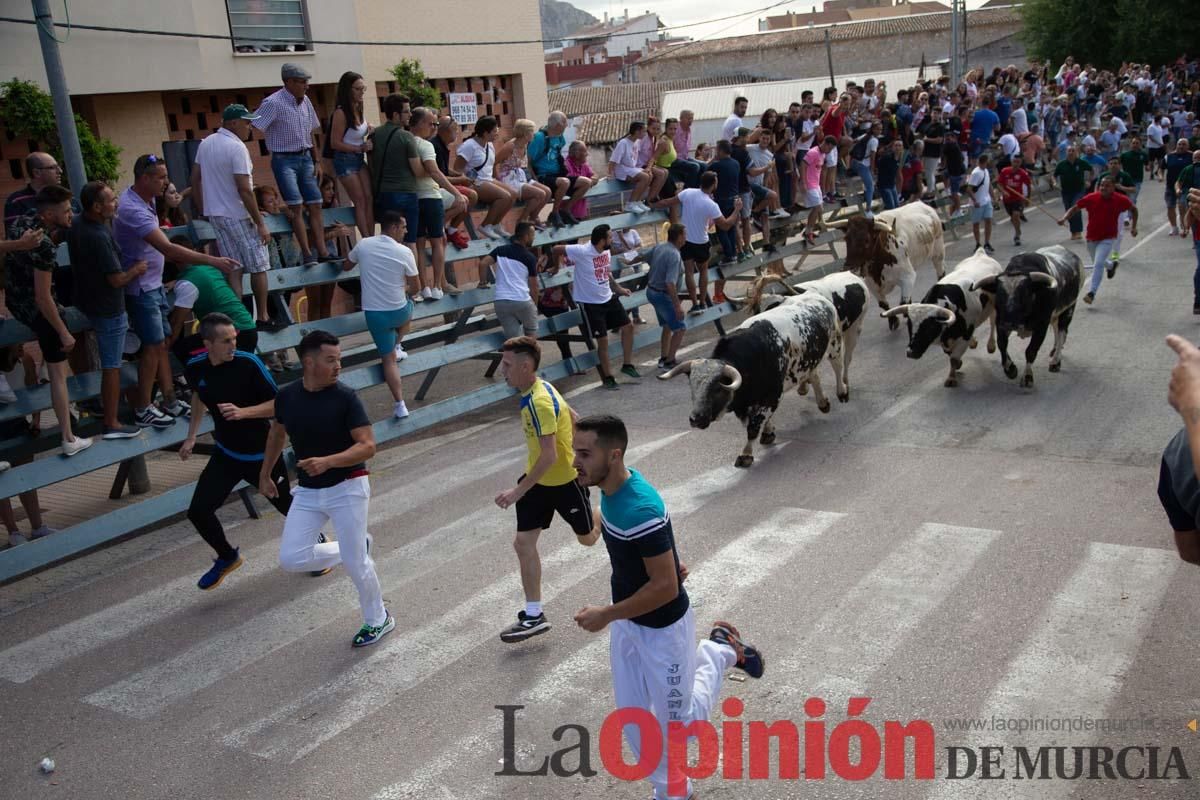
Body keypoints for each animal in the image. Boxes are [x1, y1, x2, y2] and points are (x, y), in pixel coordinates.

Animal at [657, 293, 844, 470]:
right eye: (692, 386)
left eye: (717, 389)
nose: (695, 419)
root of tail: (817, 297)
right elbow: (758, 422)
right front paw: (768, 433)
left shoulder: (772, 397)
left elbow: (753, 427)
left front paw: (745, 455)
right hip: (809, 361)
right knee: (814, 376)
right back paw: (823, 403)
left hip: (835, 346)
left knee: (838, 368)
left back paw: (842, 392)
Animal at [825, 206, 945, 335]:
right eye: (846, 238)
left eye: (866, 240)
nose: (848, 267)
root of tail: (924, 205)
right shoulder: (872, 285)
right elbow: (883, 304)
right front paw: (893, 320)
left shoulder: (908, 276)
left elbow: (903, 302)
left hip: (938, 252)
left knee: (941, 273)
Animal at [883, 250, 1003, 388]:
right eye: (909, 325)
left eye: (929, 327)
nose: (911, 352)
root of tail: (981, 253)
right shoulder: (945, 339)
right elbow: (950, 354)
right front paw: (958, 366)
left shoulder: (965, 335)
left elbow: (954, 358)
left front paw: (951, 378)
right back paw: (974, 342)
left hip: (995, 306)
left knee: (993, 322)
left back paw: (991, 345)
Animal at [969, 247, 1084, 391]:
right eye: (1000, 294)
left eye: (1023, 293)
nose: (1009, 323)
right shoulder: (1000, 323)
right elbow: (1002, 344)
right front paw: (1010, 369)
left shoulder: (1041, 326)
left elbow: (1031, 351)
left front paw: (1028, 377)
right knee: (1056, 329)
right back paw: (1053, 351)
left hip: (1068, 310)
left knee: (1062, 333)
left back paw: (1055, 361)